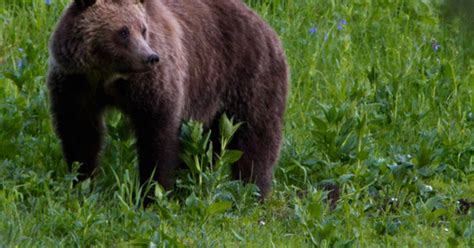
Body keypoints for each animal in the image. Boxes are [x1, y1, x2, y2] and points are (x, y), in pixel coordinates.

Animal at [47, 0, 288, 201]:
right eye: (123, 31)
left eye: (143, 29)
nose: (150, 57)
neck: (108, 77)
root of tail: (267, 26)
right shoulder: (77, 84)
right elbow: (80, 133)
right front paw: (82, 182)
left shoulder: (152, 86)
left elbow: (157, 137)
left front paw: (153, 193)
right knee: (210, 143)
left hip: (249, 78)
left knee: (256, 138)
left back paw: (252, 191)